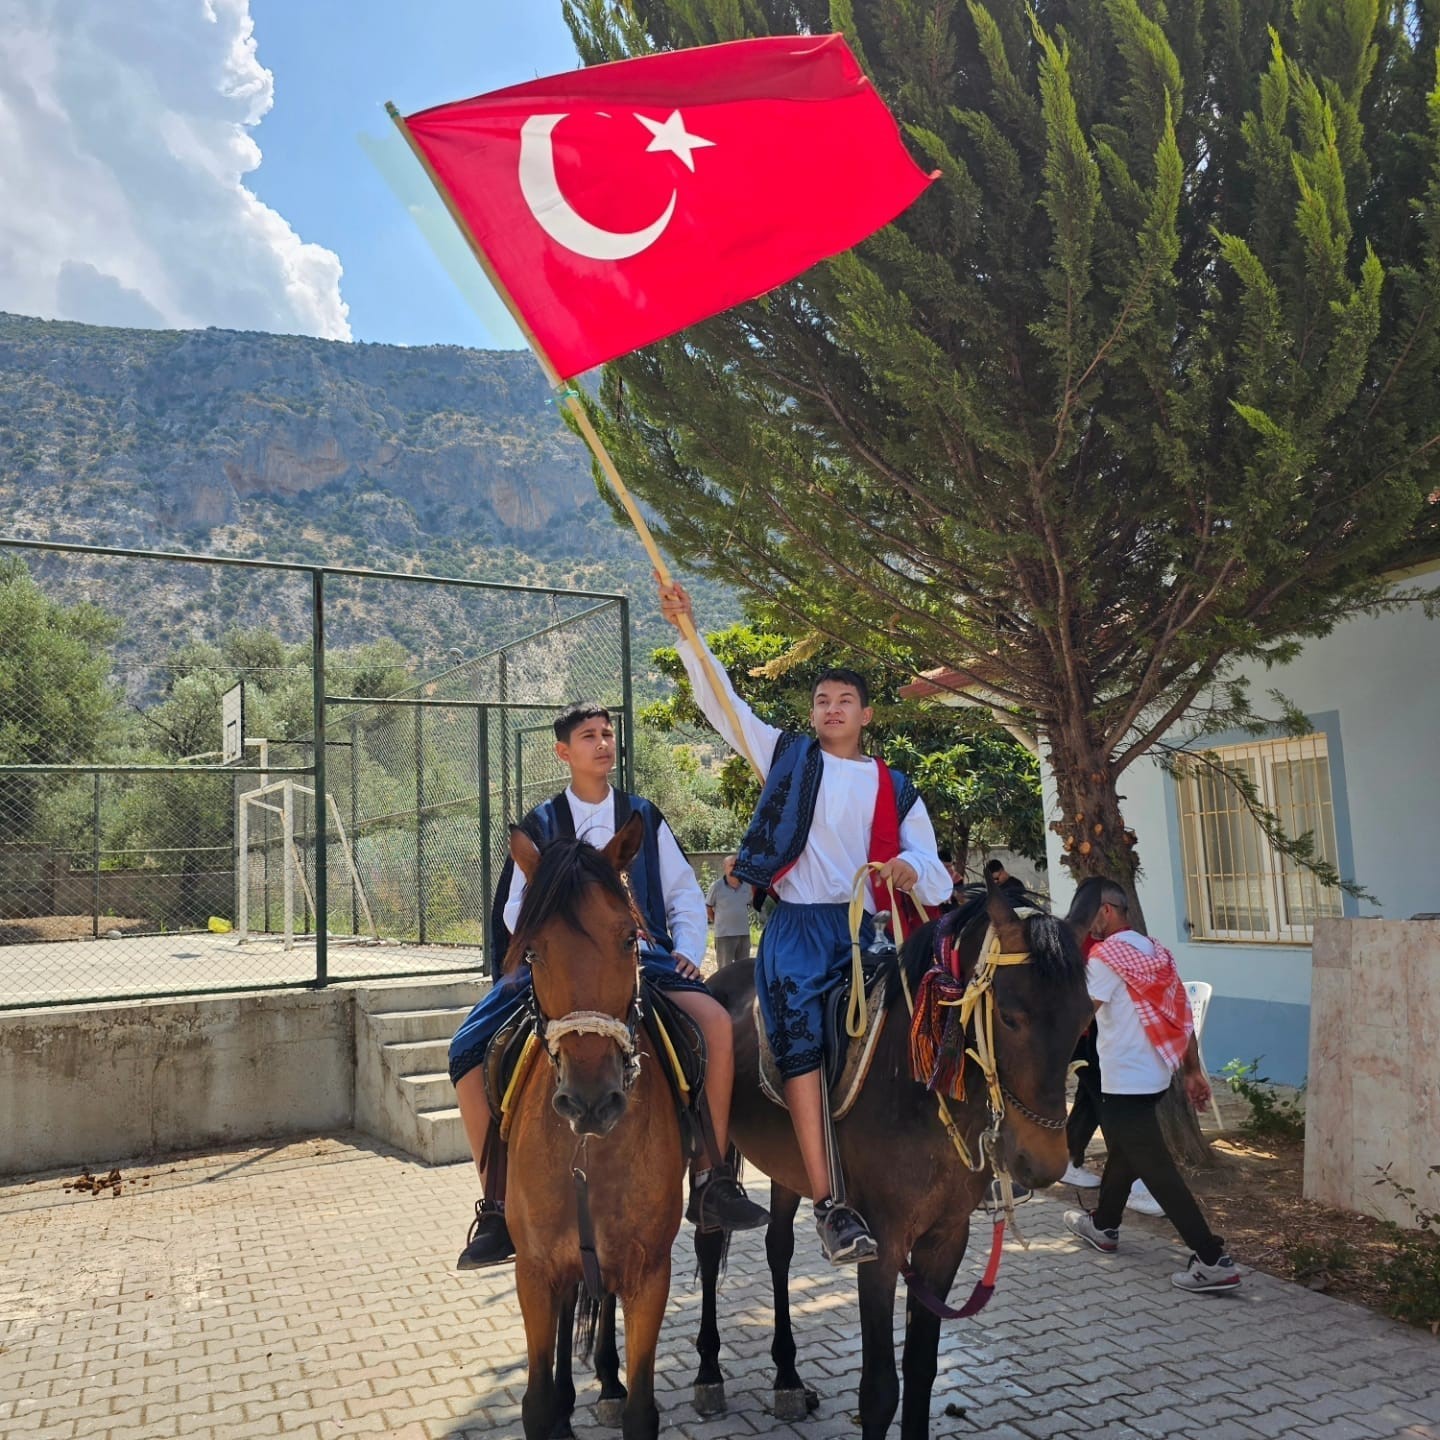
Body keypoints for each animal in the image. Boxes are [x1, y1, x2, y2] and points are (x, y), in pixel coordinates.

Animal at [504, 823, 688, 1440]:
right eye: (532, 950)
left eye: (631, 939)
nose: (590, 1101)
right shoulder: (535, 1272)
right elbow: (537, 1404)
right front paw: (556, 1401)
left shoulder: (648, 1273)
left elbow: (642, 1412)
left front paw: (617, 1387)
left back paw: (607, 1379)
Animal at [691, 887, 1082, 1440]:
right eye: (1009, 1016)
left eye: (1086, 1017)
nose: (1044, 1162)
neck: (911, 1088)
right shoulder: (883, 1246)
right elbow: (879, 1390)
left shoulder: (945, 1239)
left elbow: (922, 1368)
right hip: (712, 1150)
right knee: (709, 1244)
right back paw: (708, 1373)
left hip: (788, 1169)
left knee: (778, 1250)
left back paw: (788, 1378)